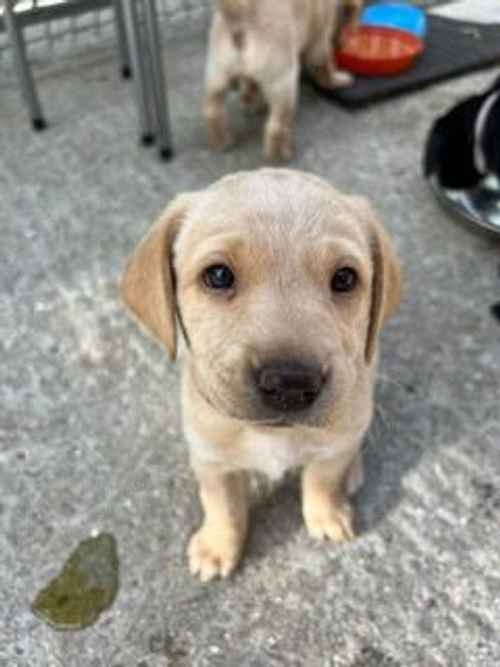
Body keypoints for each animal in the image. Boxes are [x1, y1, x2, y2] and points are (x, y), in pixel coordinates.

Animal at [122, 170, 402, 580]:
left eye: (345, 279)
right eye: (218, 275)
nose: (291, 384)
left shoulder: (335, 440)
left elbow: (322, 479)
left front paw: (327, 513)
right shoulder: (211, 460)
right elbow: (222, 506)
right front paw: (218, 545)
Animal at [203, 0, 364, 160]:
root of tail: (241, 13)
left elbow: (250, 85)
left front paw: (252, 102)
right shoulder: (320, 39)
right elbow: (323, 64)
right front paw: (337, 80)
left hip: (217, 73)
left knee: (212, 110)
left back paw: (221, 141)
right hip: (283, 80)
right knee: (276, 127)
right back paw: (281, 154)